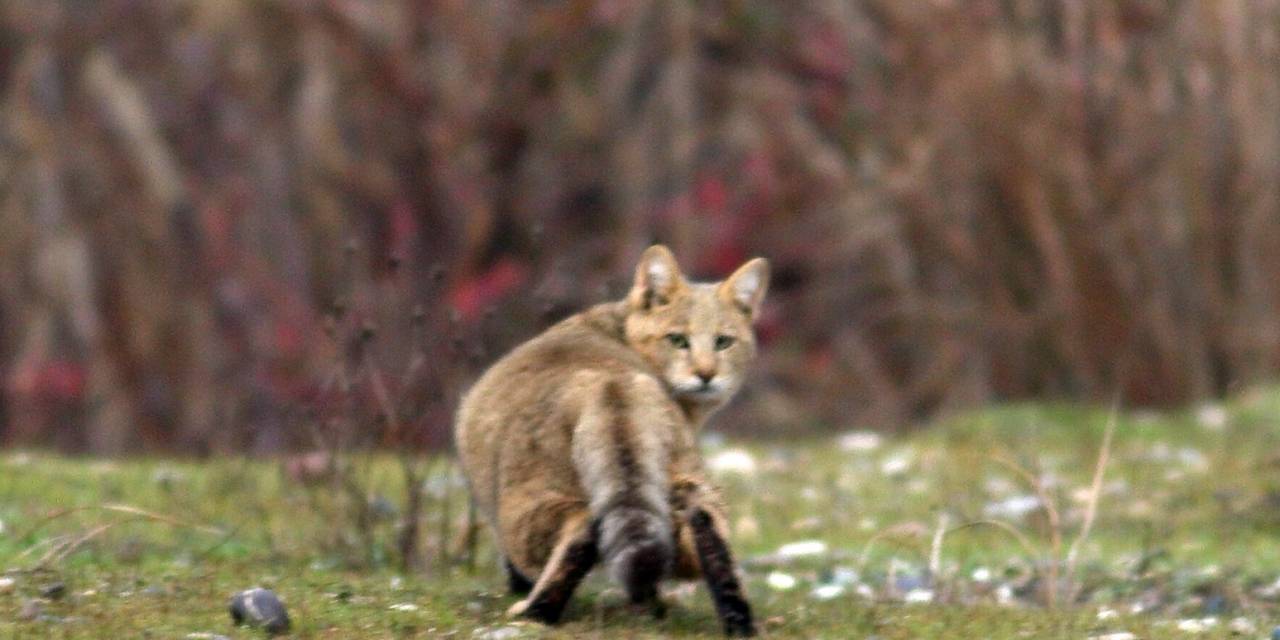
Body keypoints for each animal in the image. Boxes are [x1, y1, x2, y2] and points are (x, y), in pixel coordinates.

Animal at [455, 243, 762, 634]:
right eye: (677, 340)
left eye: (723, 342)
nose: (706, 374)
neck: (617, 330)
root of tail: (614, 383)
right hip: (692, 486)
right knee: (706, 533)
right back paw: (737, 621)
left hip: (524, 508)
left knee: (580, 531)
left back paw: (535, 612)